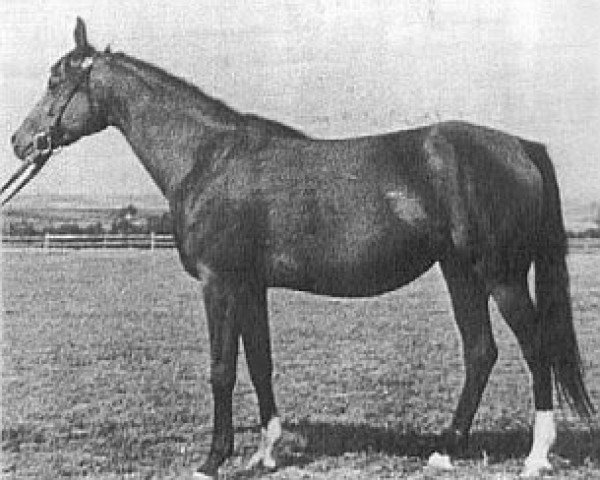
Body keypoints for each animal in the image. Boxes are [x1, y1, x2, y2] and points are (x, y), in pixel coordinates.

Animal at [7, 17, 592, 476]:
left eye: (56, 79)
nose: (19, 141)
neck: (208, 158)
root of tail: (519, 146)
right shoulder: (250, 286)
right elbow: (260, 362)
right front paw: (265, 452)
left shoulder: (220, 283)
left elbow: (222, 369)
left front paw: (211, 461)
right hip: (459, 272)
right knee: (480, 351)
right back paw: (445, 451)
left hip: (500, 274)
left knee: (535, 347)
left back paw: (536, 456)